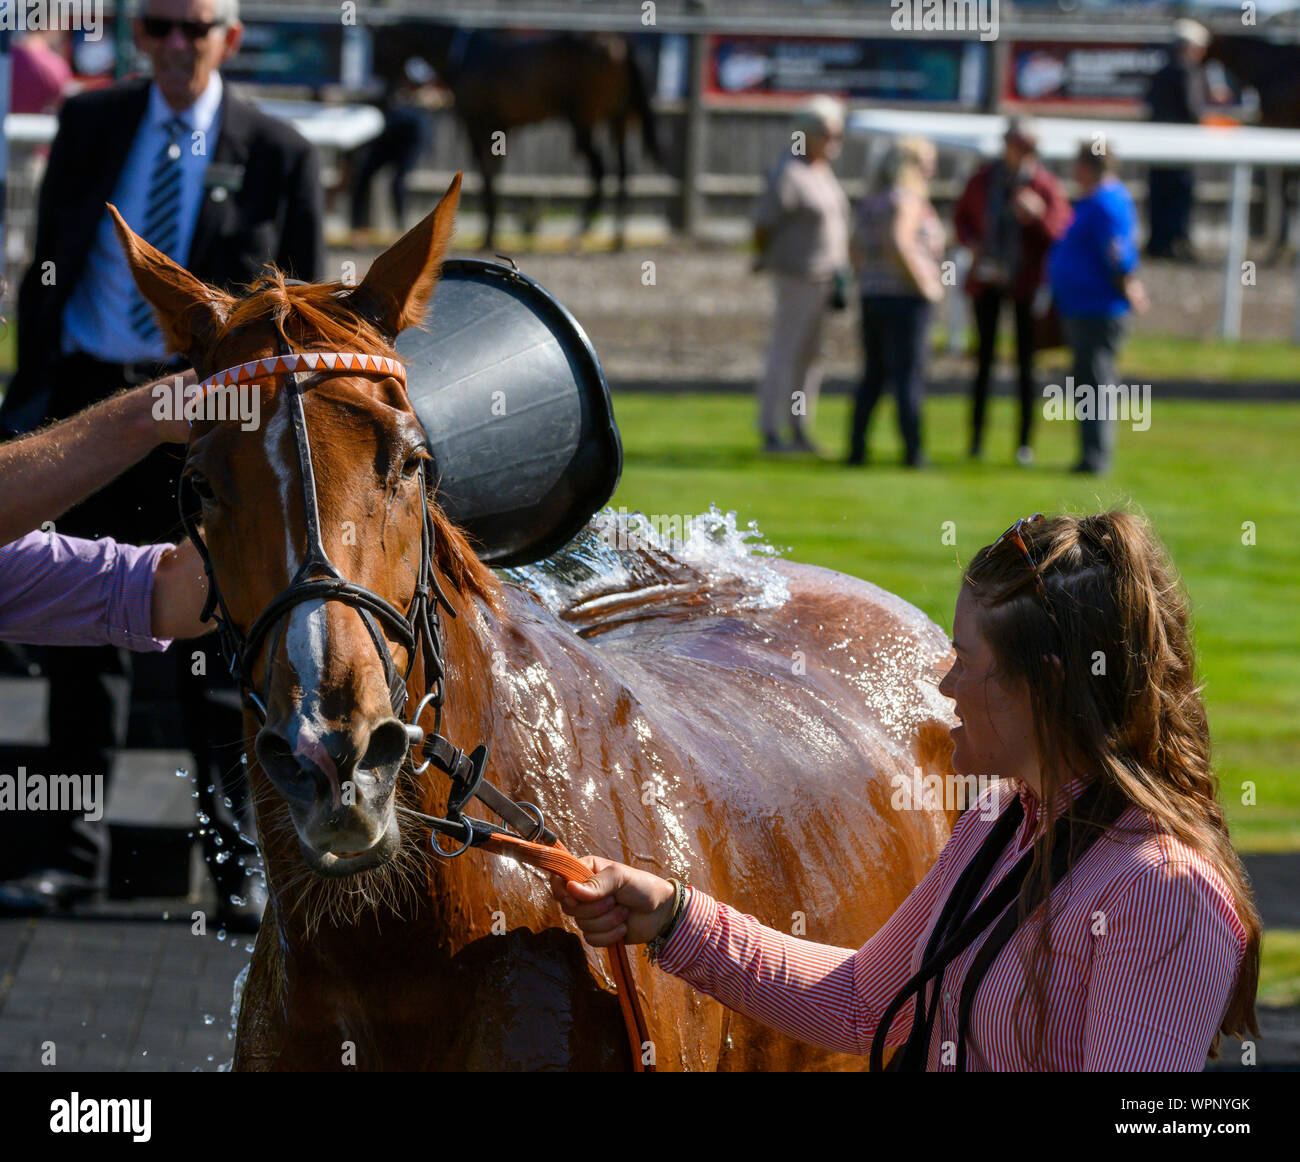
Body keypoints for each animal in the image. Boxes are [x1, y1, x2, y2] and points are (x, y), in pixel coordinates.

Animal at [371, 19, 665, 249]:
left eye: (379, 48)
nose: (383, 97)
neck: (464, 56)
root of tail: (618, 42)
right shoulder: (500, 130)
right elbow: (495, 177)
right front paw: (493, 231)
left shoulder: (477, 127)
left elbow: (487, 179)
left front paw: (489, 235)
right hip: (618, 119)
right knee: (623, 172)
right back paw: (618, 236)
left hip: (583, 120)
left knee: (600, 170)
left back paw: (579, 233)